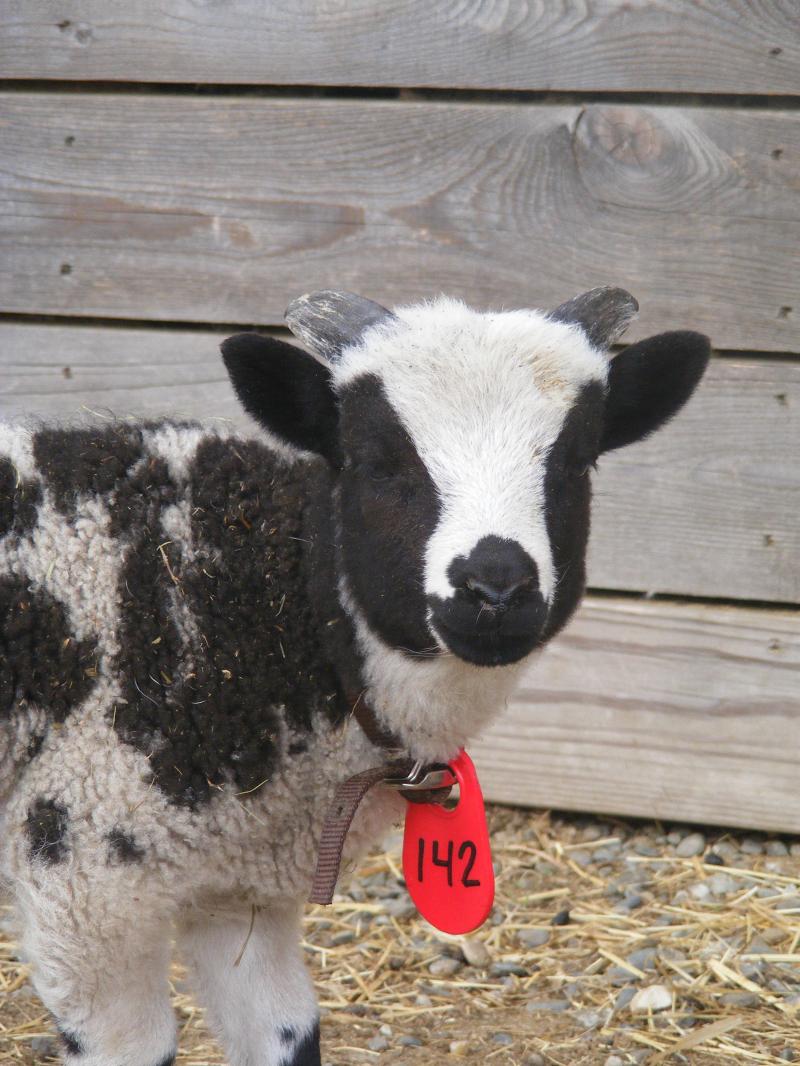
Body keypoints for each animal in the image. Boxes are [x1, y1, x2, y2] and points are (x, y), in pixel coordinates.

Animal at [0, 287, 709, 1066]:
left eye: (578, 461)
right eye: (376, 459)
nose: (494, 589)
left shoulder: (238, 887)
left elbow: (288, 1034)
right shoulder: (83, 878)